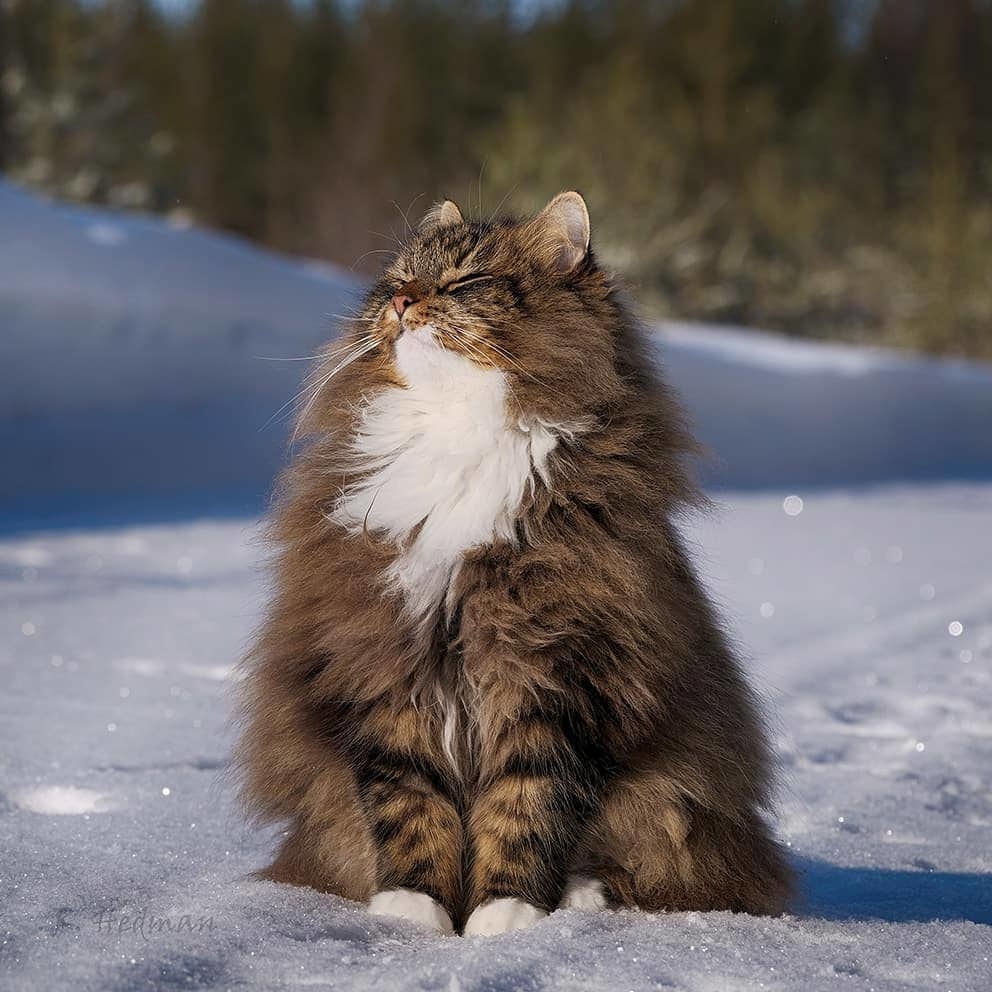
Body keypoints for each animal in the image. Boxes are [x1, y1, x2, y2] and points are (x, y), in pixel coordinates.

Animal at [236, 190, 796, 932]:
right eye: (397, 279)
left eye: (465, 281)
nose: (403, 302)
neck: (455, 431)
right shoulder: (383, 661)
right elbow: (408, 803)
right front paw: (412, 909)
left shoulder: (561, 674)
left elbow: (528, 806)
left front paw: (506, 914)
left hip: (670, 799)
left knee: (648, 866)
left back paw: (580, 896)